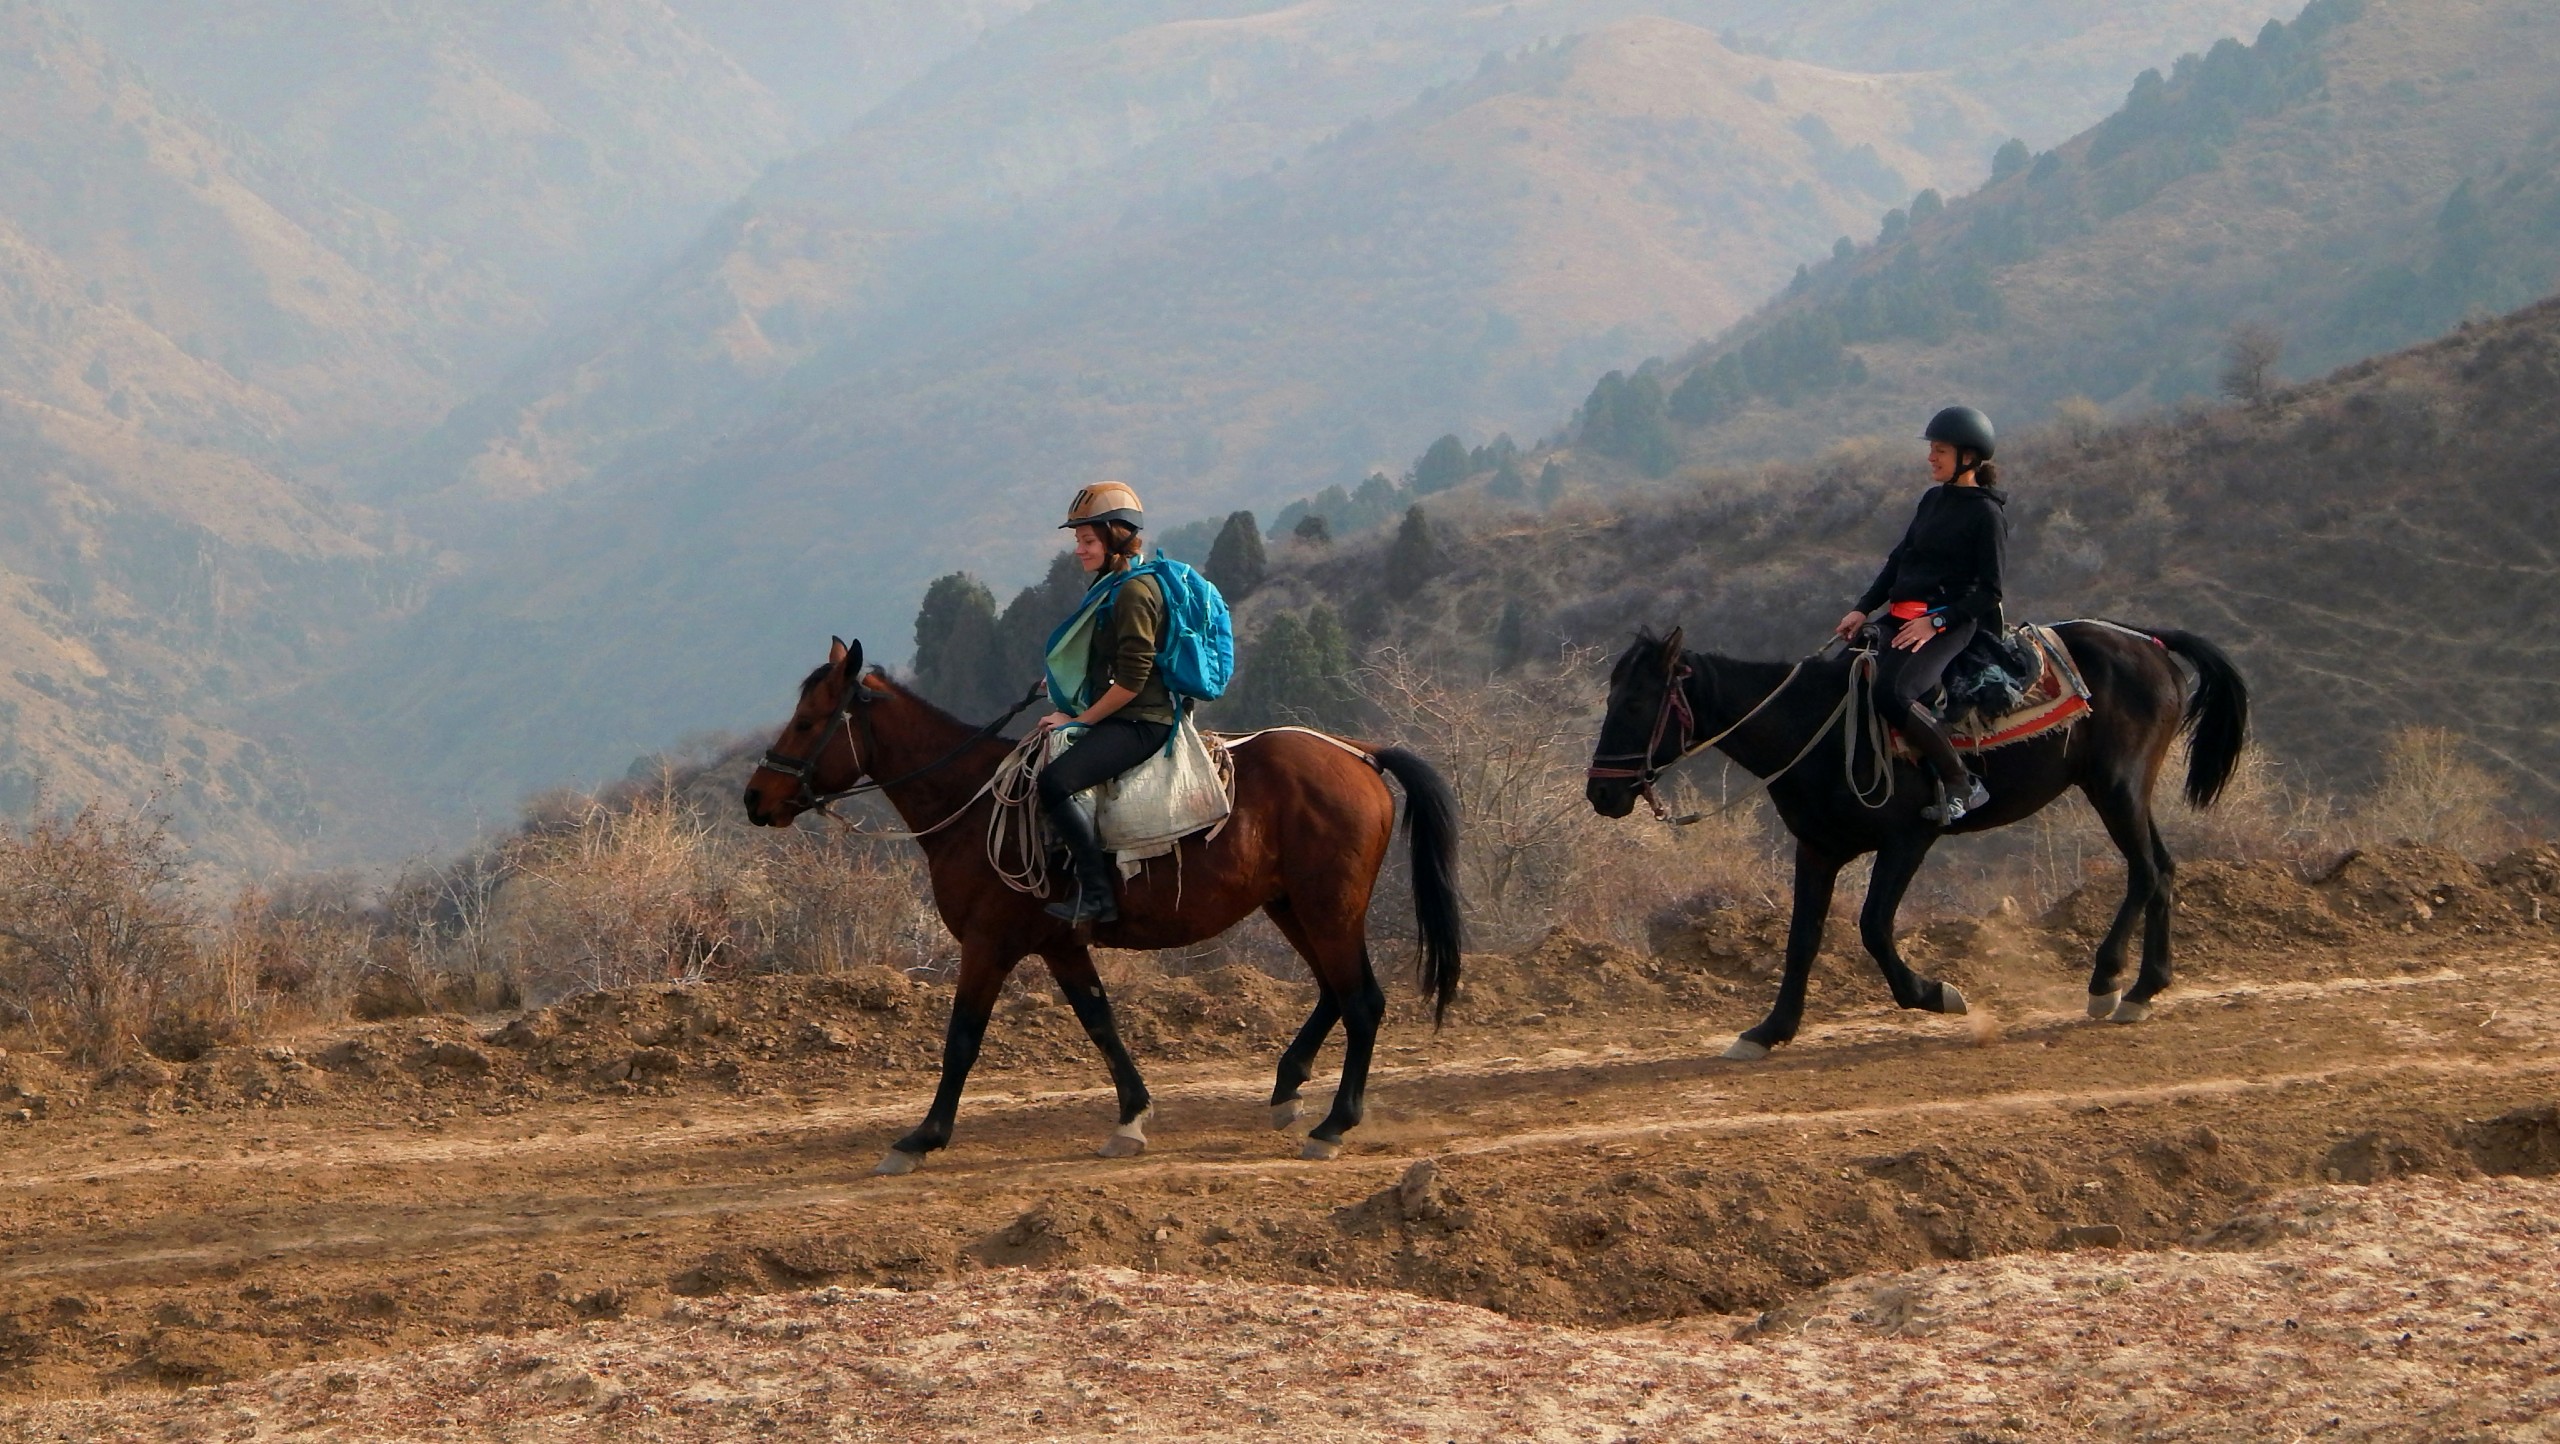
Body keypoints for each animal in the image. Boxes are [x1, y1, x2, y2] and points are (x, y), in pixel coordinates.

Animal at [742, 642, 1464, 1172]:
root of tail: (1360, 754)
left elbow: (963, 1039)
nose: (755, 798)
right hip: (1293, 906)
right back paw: (1289, 1088)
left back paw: (1333, 1123)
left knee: (1361, 1000)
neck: (971, 803)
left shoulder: (988, 944)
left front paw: (922, 1137)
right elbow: (1100, 1024)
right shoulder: (1060, 946)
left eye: (807, 723)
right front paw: (1132, 1118)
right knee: (1335, 992)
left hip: (1327, 907)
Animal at [1576, 622, 2242, 1059]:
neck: (1816, 729)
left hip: (2116, 787)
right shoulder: (1817, 849)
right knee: (2161, 870)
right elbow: (1802, 940)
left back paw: (2113, 986)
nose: (1601, 794)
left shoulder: (1908, 840)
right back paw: (2138, 988)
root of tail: (2147, 643)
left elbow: (1873, 926)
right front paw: (1769, 1030)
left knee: (2147, 872)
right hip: (2120, 791)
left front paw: (1936, 994)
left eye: (1635, 701)